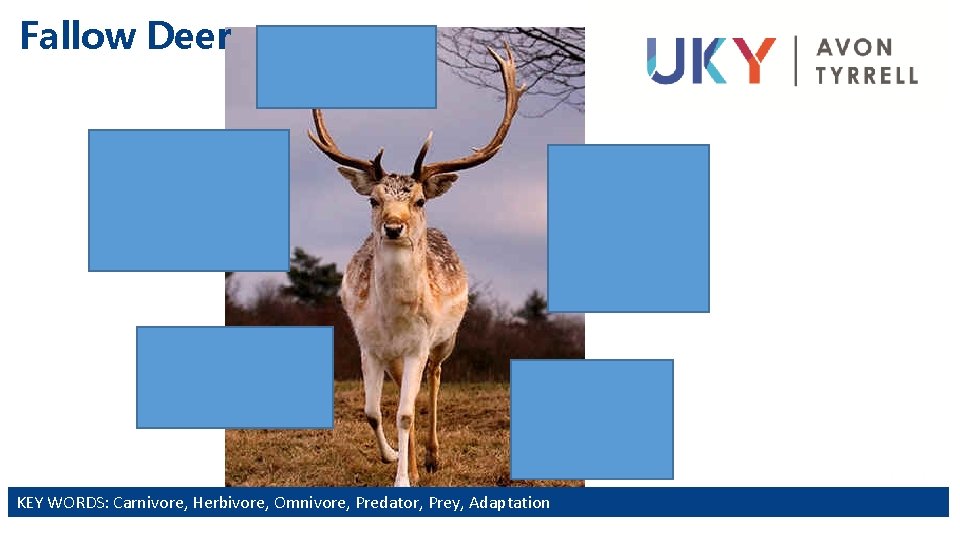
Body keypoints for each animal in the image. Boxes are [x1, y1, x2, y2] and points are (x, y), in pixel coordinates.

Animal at [307, 44, 525, 486]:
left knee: (435, 380)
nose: (393, 226)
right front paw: (393, 458)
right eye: (373, 199)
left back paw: (431, 457)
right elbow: (373, 412)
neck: (394, 320)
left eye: (419, 200)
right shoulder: (369, 345)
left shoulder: (418, 345)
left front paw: (404, 479)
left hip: (445, 341)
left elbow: (406, 414)